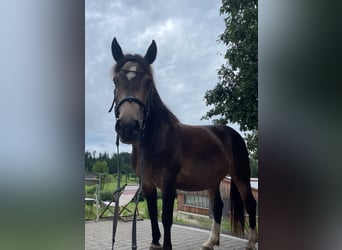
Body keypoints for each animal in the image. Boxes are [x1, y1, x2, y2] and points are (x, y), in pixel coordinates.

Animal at [109, 37, 256, 250]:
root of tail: (232, 133)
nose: (128, 127)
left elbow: (166, 218)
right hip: (212, 180)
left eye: (148, 82)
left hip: (241, 175)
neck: (153, 142)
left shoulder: (169, 181)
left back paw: (251, 243)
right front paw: (155, 243)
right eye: (115, 80)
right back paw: (210, 242)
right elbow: (153, 214)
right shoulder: (148, 184)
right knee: (218, 207)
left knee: (251, 203)